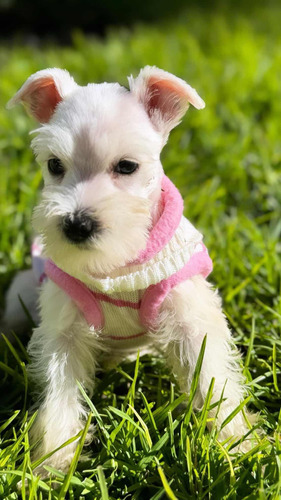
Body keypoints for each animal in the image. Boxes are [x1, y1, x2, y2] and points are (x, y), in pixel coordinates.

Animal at [4, 66, 253, 472]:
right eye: (55, 165)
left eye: (126, 166)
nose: (76, 224)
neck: (117, 266)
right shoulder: (64, 333)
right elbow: (61, 395)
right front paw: (52, 462)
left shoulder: (189, 316)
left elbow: (214, 377)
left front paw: (237, 444)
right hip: (22, 292)